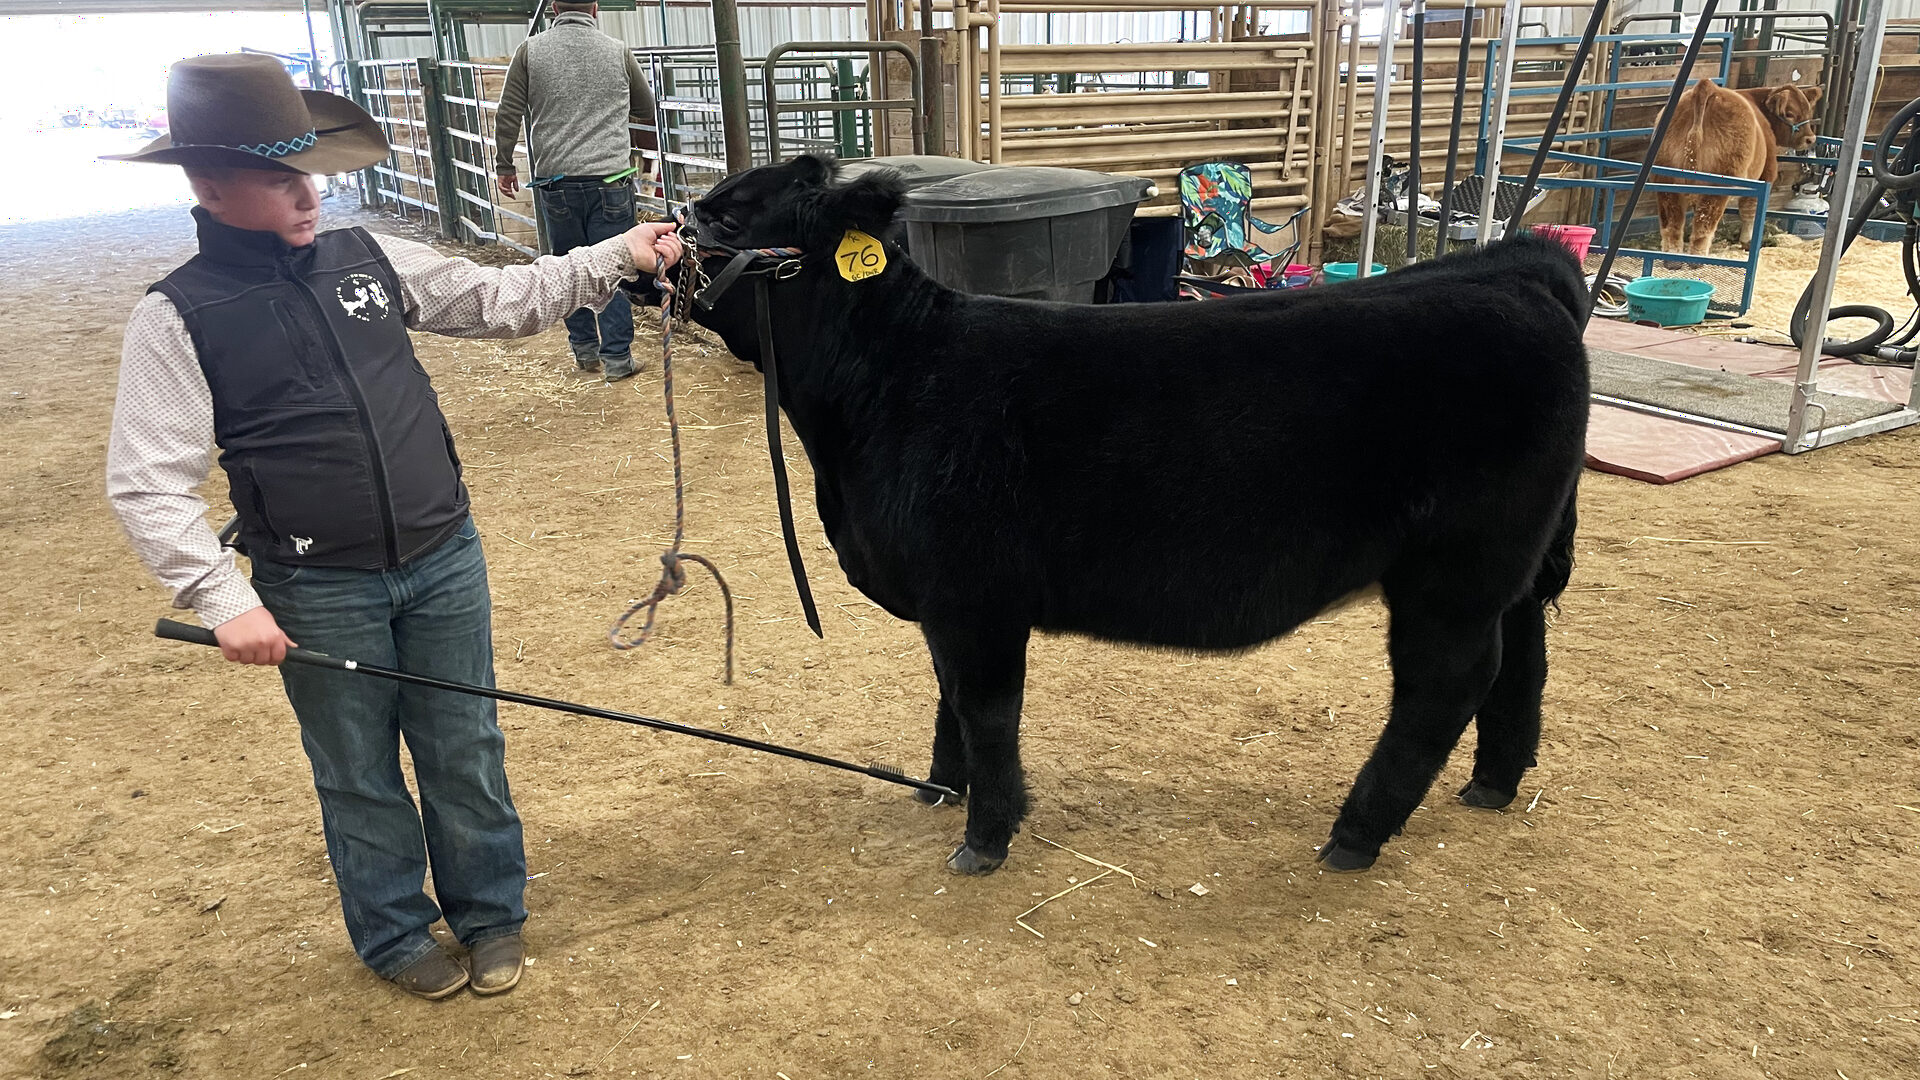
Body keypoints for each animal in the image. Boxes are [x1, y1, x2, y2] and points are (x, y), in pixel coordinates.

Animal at [680, 154, 1589, 875]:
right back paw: (1491, 785)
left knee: (1448, 684)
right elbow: (948, 698)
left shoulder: (976, 599)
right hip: (1505, 567)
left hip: (1454, 574)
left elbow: (985, 709)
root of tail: (1513, 271)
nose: (670, 231)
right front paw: (940, 787)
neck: (889, 381)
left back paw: (1355, 835)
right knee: (1523, 658)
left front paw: (986, 837)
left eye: (729, 214)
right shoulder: (943, 602)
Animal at [1655, 78, 1822, 256]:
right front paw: (1746, 241)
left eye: (1808, 112)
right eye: (1789, 113)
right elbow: (1749, 210)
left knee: (1672, 229)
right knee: (1703, 230)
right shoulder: (1766, 174)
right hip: (1716, 188)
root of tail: (1707, 87)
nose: (1810, 139)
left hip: (1666, 183)